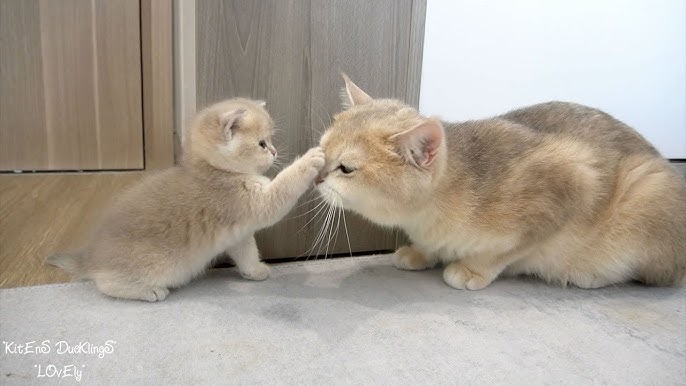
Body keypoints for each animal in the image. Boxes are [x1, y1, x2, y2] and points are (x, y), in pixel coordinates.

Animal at [47, 97, 326, 302]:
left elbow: (247, 253)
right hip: (159, 265)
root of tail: (90, 257)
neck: (215, 170)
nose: (275, 151)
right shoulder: (254, 202)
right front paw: (310, 159)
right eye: (261, 144)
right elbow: (284, 187)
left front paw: (254, 271)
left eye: (270, 140)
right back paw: (149, 291)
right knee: (104, 283)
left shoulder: (239, 236)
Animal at [318, 75, 686, 292]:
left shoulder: (571, 181)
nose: (318, 178)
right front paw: (422, 252)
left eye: (345, 168)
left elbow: (505, 252)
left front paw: (470, 270)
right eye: (321, 152)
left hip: (649, 188)